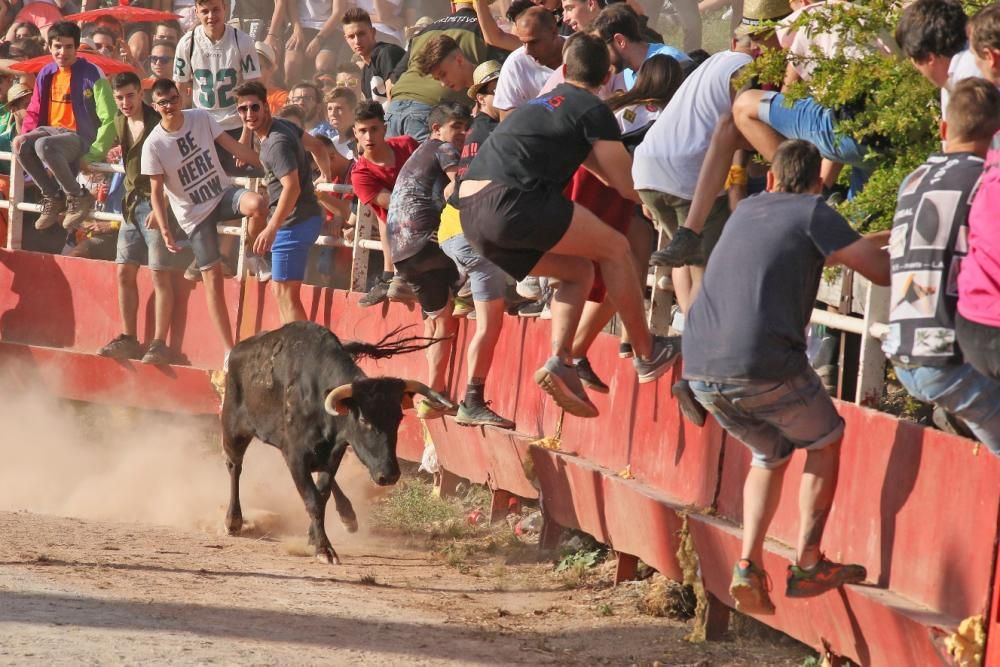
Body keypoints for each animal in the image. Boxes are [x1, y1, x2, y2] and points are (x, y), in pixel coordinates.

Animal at [223, 322, 454, 564]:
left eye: (398, 417)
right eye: (364, 419)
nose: (389, 475)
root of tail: (239, 349)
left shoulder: (335, 451)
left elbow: (322, 493)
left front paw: (315, 537)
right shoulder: (295, 456)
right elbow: (313, 500)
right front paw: (324, 549)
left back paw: (348, 517)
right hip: (233, 428)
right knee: (234, 466)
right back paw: (233, 520)